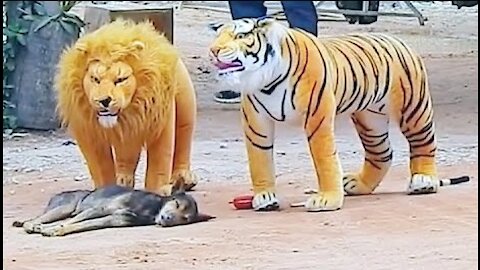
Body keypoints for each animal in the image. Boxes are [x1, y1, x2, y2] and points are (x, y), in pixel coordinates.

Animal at [11, 177, 214, 236]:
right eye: (176, 203)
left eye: (184, 219)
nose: (168, 219)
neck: (151, 210)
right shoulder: (98, 210)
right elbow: (71, 222)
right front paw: (53, 229)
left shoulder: (110, 219)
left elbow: (78, 226)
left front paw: (58, 231)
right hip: (63, 208)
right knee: (34, 220)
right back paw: (34, 225)